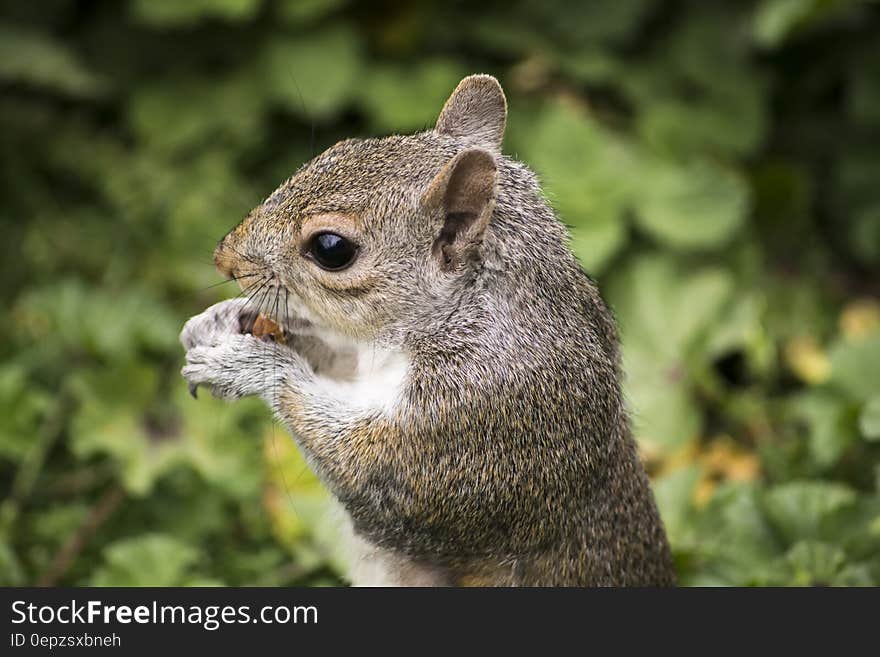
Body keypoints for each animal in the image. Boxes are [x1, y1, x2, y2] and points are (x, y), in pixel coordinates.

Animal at [179, 75, 672, 584]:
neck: (450, 319)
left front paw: (250, 365)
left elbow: (367, 474)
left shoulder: (474, 422)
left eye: (331, 248)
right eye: (338, 148)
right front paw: (222, 319)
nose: (225, 259)